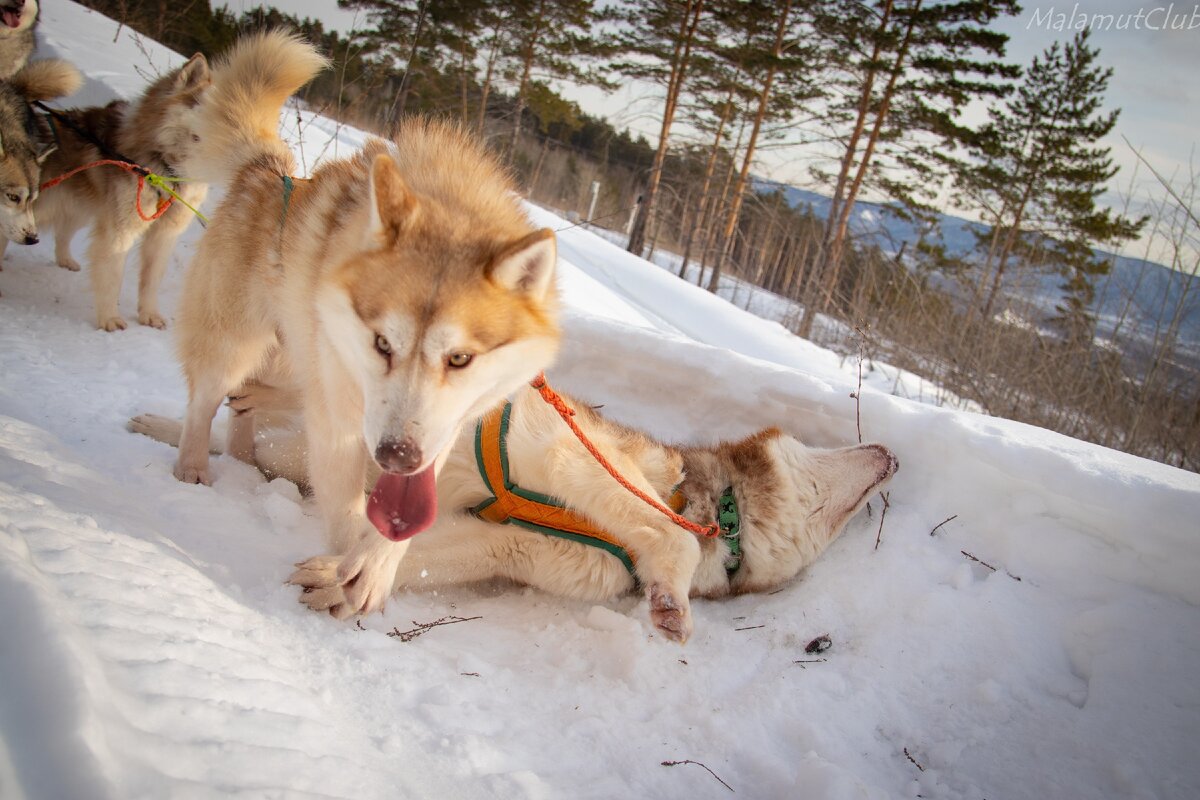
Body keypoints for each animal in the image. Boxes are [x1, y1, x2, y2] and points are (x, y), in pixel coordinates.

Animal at [34, 50, 212, 331]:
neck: (168, 172)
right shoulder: (120, 229)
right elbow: (112, 275)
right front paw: (109, 318)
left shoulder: (164, 234)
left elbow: (151, 279)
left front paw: (149, 314)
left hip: (79, 205)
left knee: (63, 231)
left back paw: (65, 259)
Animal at [133, 379, 902, 642]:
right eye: (818, 444)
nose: (893, 453)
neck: (711, 507)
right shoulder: (580, 455)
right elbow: (674, 538)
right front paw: (673, 597)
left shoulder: (511, 548)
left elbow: (425, 552)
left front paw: (349, 575)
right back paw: (183, 429)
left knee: (264, 449)